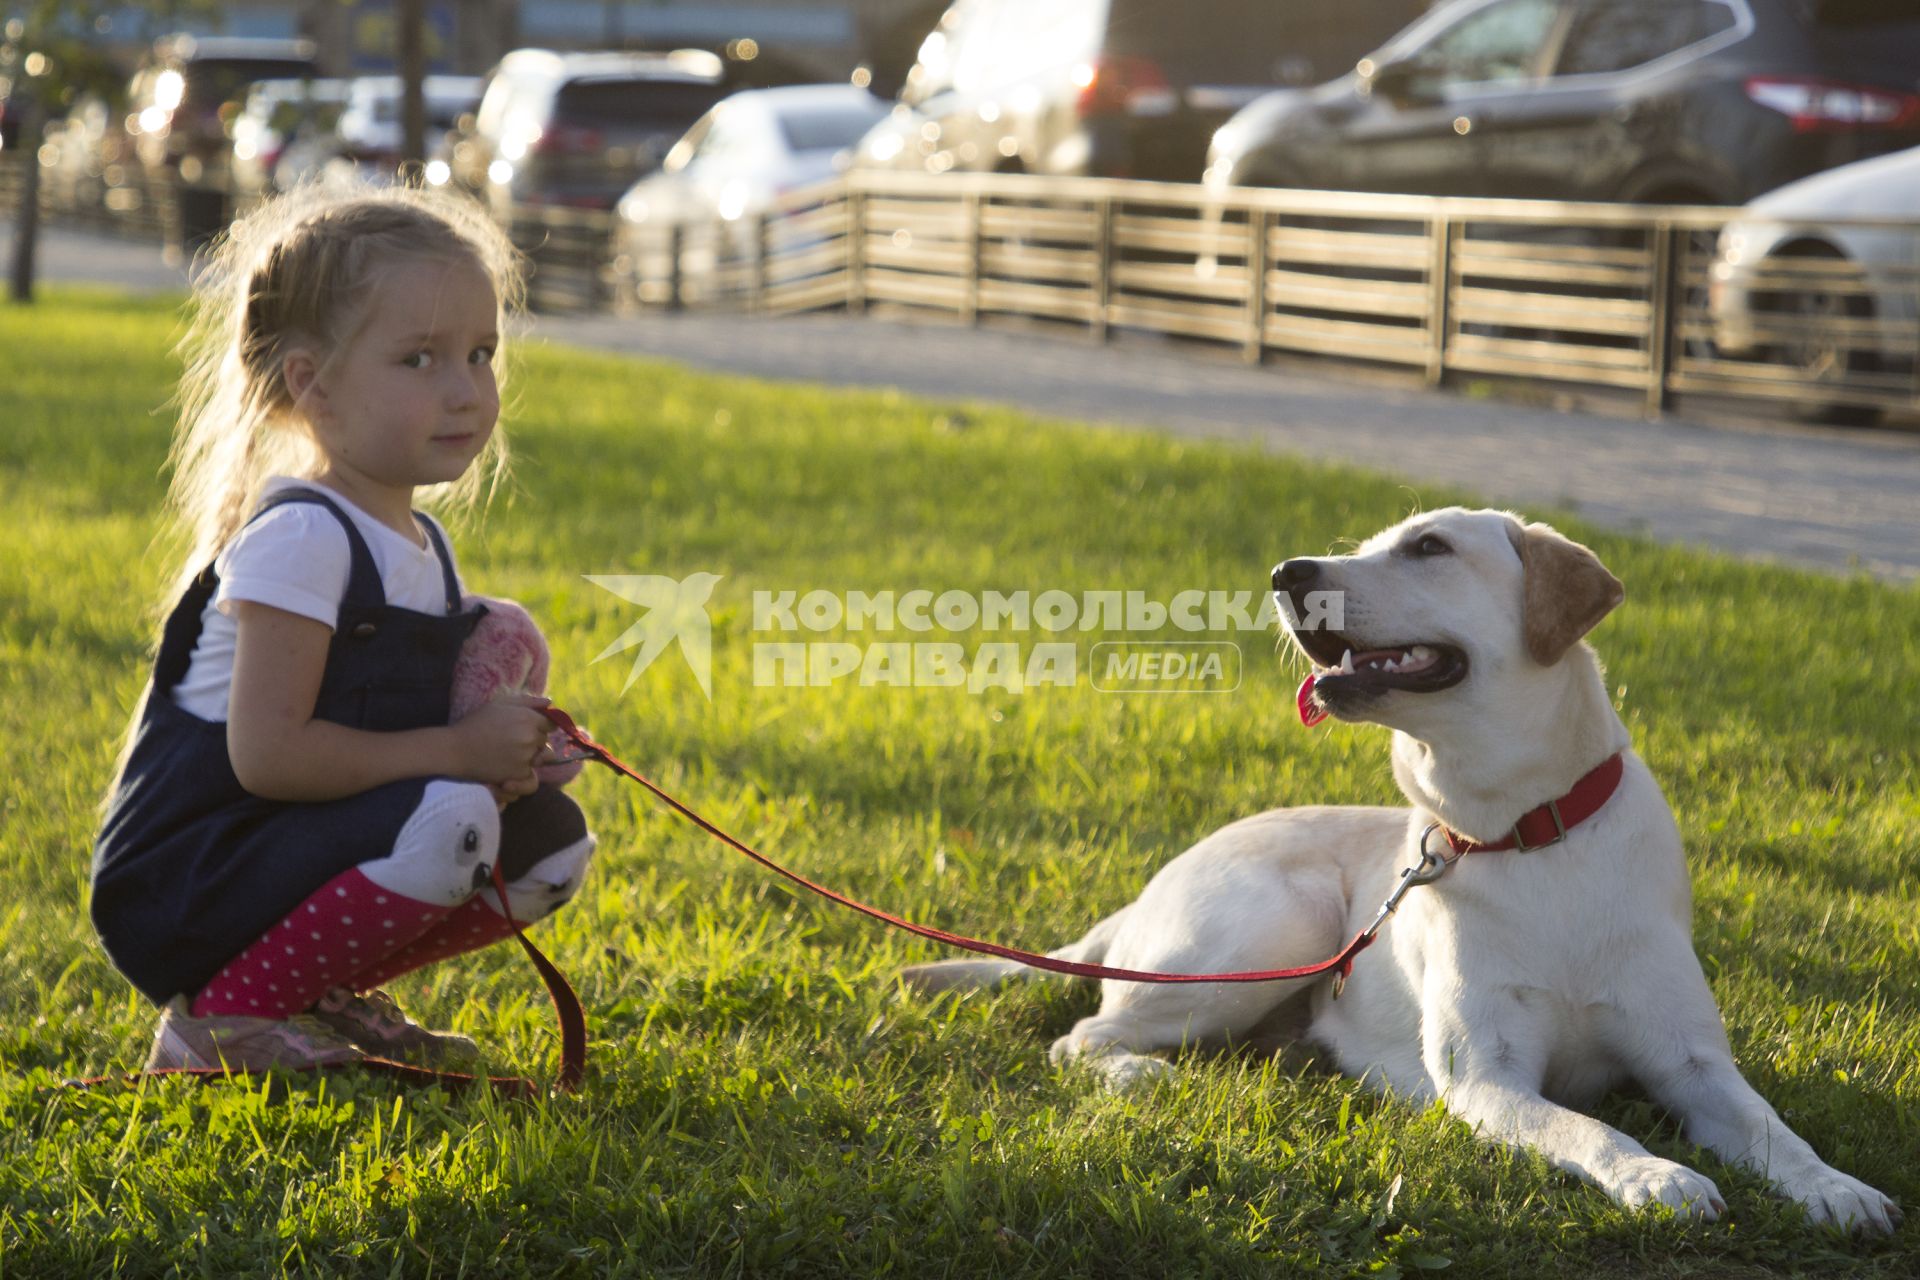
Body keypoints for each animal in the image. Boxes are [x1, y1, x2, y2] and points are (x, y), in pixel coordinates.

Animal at [906, 506, 1896, 1228]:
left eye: (1428, 547)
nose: (1286, 575)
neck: (1526, 832)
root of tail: (1153, 883)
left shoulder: (1693, 1063)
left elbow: (1774, 1130)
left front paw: (1837, 1189)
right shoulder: (1488, 1076)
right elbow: (1588, 1125)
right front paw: (1658, 1176)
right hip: (1272, 926)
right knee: (1082, 1037)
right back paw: (1142, 1075)